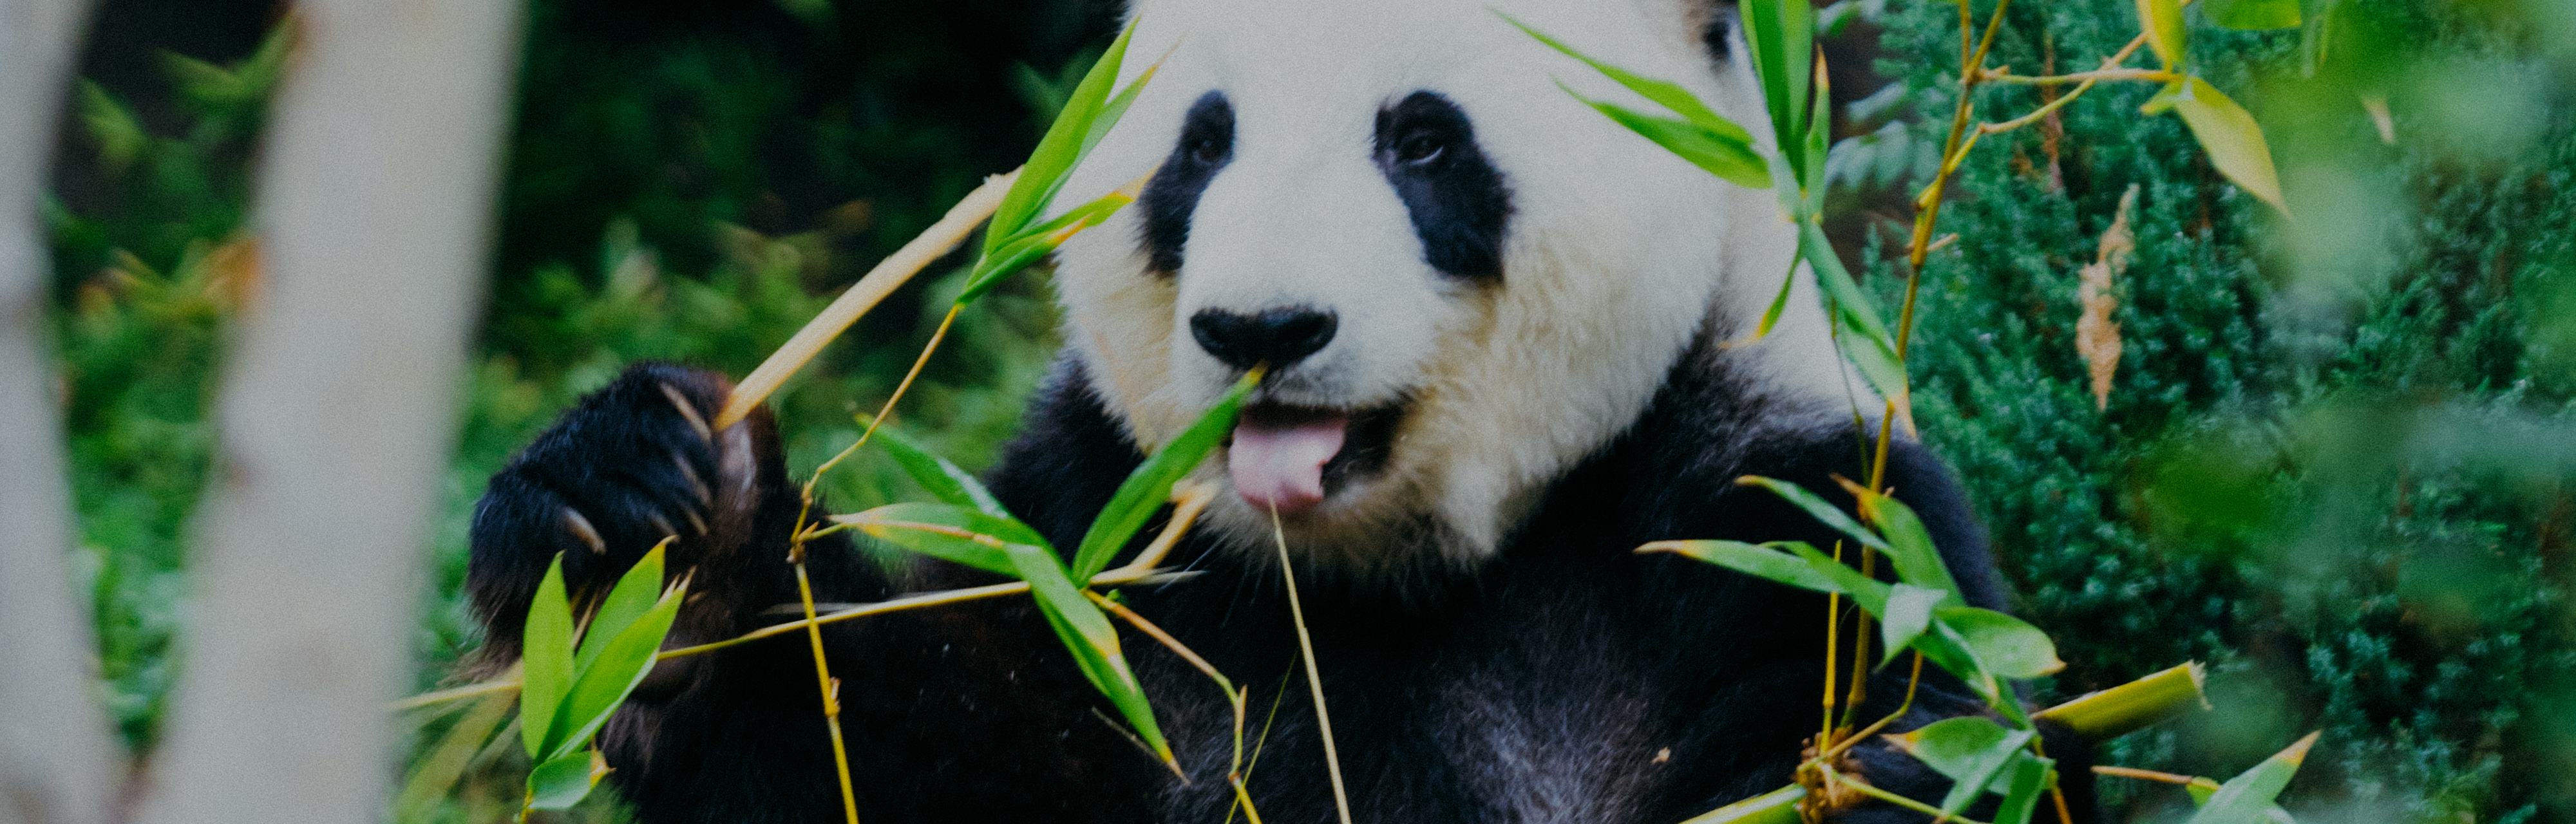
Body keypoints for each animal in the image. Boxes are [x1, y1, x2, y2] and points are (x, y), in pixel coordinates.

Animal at [464, 0, 2098, 821]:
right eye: (1201, 146)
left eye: (1422, 141)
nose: (1261, 332)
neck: (1390, 570)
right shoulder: (1112, 553)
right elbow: (905, 751)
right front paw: (660, 544)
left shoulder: (1778, 514)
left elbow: (1922, 725)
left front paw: (1864, 776)